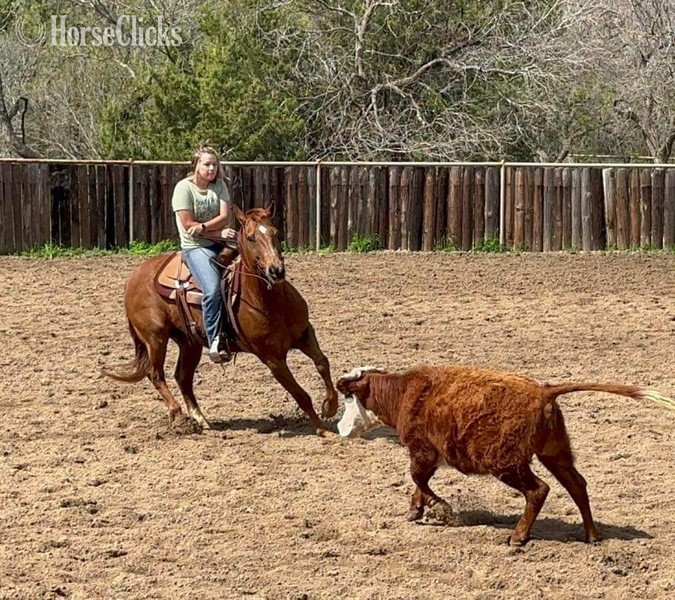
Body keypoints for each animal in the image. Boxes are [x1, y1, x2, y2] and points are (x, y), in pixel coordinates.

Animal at [103, 205, 339, 435]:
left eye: (276, 232)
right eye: (251, 238)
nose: (276, 271)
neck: (272, 302)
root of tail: (133, 278)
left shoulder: (305, 334)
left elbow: (322, 362)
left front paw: (330, 406)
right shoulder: (272, 359)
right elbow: (300, 394)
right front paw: (322, 429)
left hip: (189, 342)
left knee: (182, 377)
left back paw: (201, 420)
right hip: (155, 338)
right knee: (155, 374)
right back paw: (178, 415)